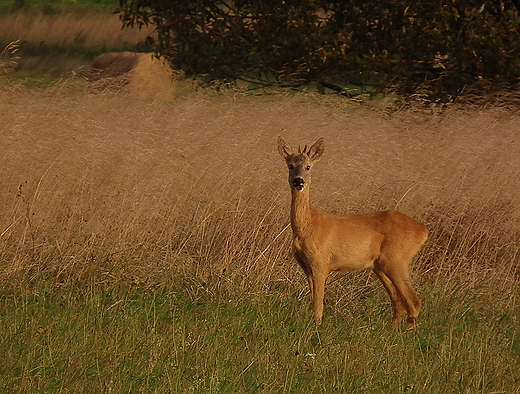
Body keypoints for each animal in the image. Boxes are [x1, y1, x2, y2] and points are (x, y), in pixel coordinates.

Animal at [278, 137, 428, 328]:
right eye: (290, 165)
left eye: (308, 166)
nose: (299, 181)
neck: (308, 226)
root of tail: (424, 230)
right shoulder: (306, 266)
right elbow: (313, 301)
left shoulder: (321, 261)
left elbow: (319, 305)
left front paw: (317, 328)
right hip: (380, 266)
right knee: (399, 304)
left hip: (397, 260)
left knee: (414, 303)